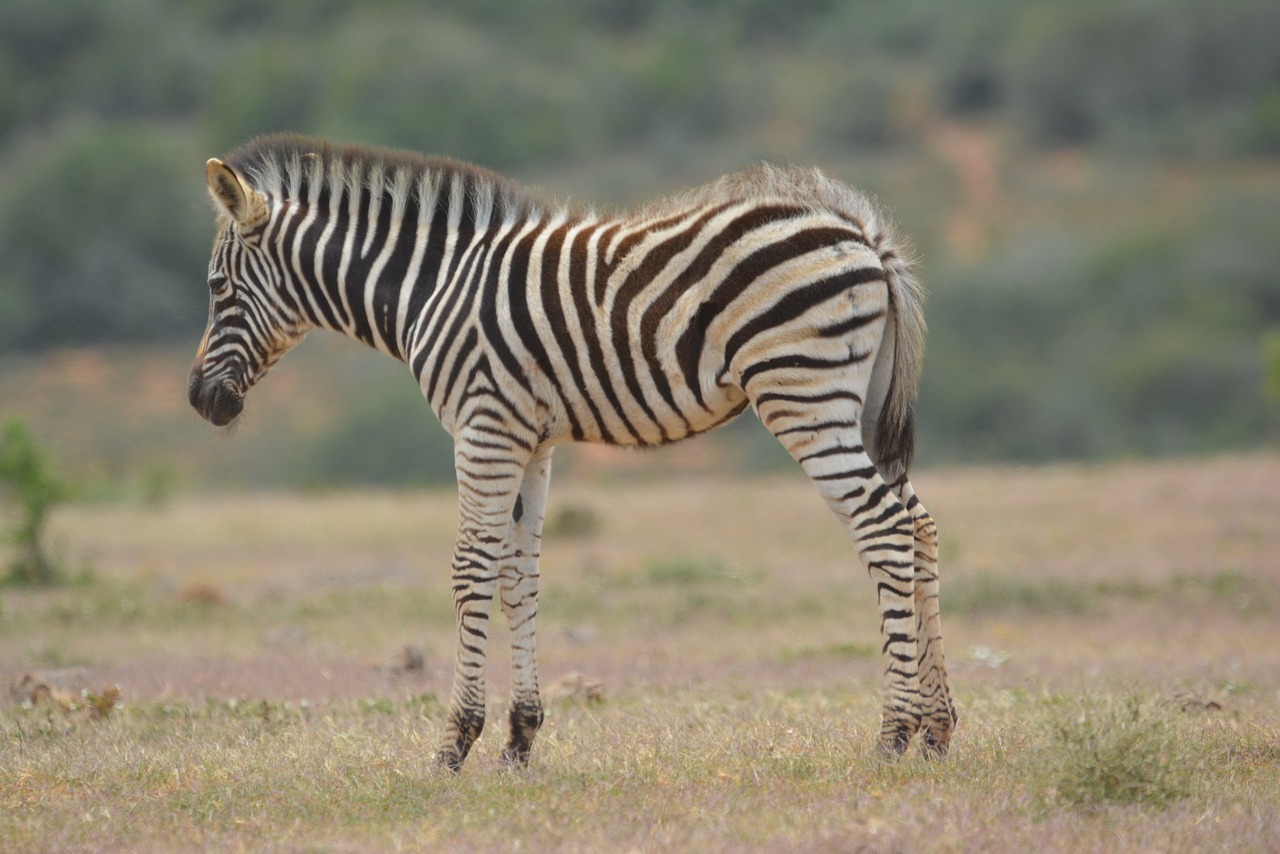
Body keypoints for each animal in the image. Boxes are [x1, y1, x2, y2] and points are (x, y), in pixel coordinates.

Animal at [186, 131, 952, 768]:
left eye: (217, 288)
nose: (199, 400)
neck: (429, 288)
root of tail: (863, 234)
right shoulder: (531, 440)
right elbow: (519, 578)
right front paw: (519, 740)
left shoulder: (483, 426)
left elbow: (470, 571)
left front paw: (455, 744)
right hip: (857, 404)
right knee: (918, 525)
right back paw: (939, 731)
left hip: (804, 396)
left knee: (883, 529)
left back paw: (893, 736)